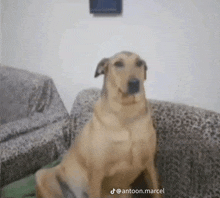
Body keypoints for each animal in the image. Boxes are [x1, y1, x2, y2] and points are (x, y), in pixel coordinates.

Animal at [35, 51, 161, 198]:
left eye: (139, 63)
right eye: (118, 63)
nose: (135, 83)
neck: (126, 114)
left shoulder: (150, 165)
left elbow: (156, 190)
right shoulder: (96, 175)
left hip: (126, 191)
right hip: (42, 175)